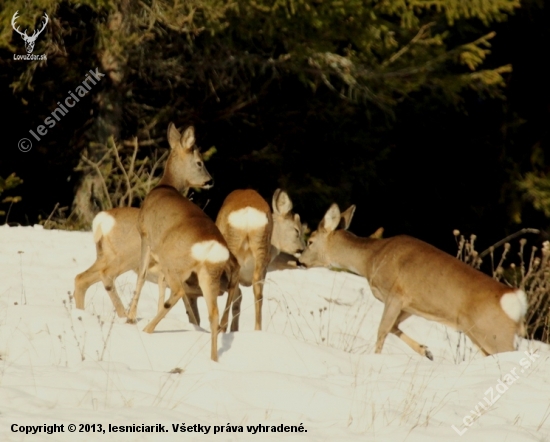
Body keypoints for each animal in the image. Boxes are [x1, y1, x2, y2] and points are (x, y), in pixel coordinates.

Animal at [75, 122, 216, 320]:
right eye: (199, 162)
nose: (210, 181)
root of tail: (101, 221)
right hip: (125, 255)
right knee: (106, 276)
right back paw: (125, 315)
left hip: (104, 255)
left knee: (81, 279)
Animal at [302, 204, 532, 360]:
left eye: (310, 241)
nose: (300, 260)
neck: (370, 259)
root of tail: (516, 299)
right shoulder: (411, 304)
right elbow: (393, 327)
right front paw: (426, 351)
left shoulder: (395, 293)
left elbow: (382, 329)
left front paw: (375, 358)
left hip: (494, 333)